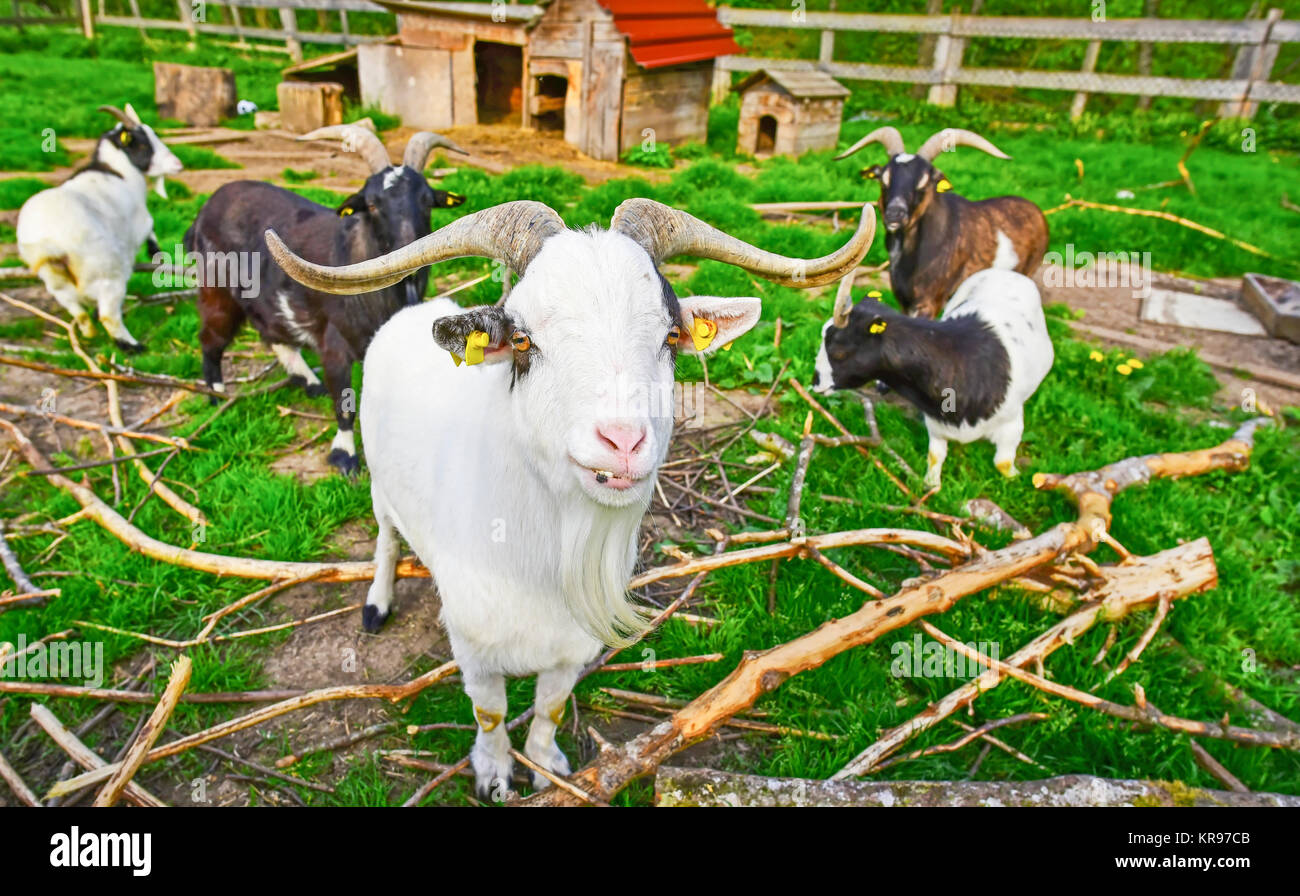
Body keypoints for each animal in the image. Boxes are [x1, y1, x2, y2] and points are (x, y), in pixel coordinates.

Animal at [17, 106, 183, 351]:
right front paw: (156, 251)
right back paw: (133, 346)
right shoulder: (140, 222)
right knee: (109, 315)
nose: (177, 164)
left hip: (56, 283)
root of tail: (50, 244)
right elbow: (151, 228)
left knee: (79, 311)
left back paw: (90, 333)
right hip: (107, 273)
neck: (117, 171)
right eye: (143, 143)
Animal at [183, 127, 467, 475]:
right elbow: (345, 405)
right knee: (211, 339)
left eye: (428, 202)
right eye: (372, 204)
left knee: (270, 330)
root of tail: (204, 210)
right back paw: (216, 396)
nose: (410, 244)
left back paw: (306, 380)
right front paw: (344, 456)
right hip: (217, 292)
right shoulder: (334, 346)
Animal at [262, 197, 873, 795]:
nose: (622, 442)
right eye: (523, 339)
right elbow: (489, 712)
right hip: (380, 486)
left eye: (672, 336)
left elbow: (550, 708)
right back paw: (378, 602)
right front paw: (494, 774)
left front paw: (546, 765)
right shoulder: (473, 646)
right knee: (388, 537)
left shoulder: (572, 649)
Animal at [816, 267, 1050, 488]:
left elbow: (1003, 463)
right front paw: (931, 486)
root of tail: (1005, 272)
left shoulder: (1011, 423)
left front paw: (1018, 479)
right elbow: (935, 457)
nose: (815, 383)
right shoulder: (937, 426)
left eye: (839, 352)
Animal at [837, 126, 1050, 318]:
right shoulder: (904, 301)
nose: (895, 214)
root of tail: (1036, 210)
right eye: (883, 180)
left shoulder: (929, 302)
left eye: (923, 184)